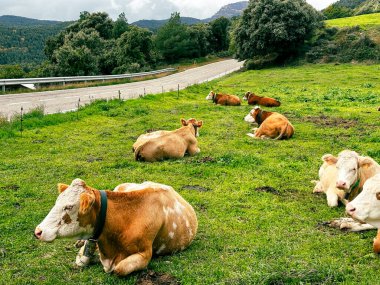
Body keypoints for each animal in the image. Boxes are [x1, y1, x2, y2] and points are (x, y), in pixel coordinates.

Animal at [34, 178, 197, 276]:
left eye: (68, 207)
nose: (38, 231)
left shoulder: (145, 254)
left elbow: (119, 269)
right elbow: (81, 259)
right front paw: (83, 250)